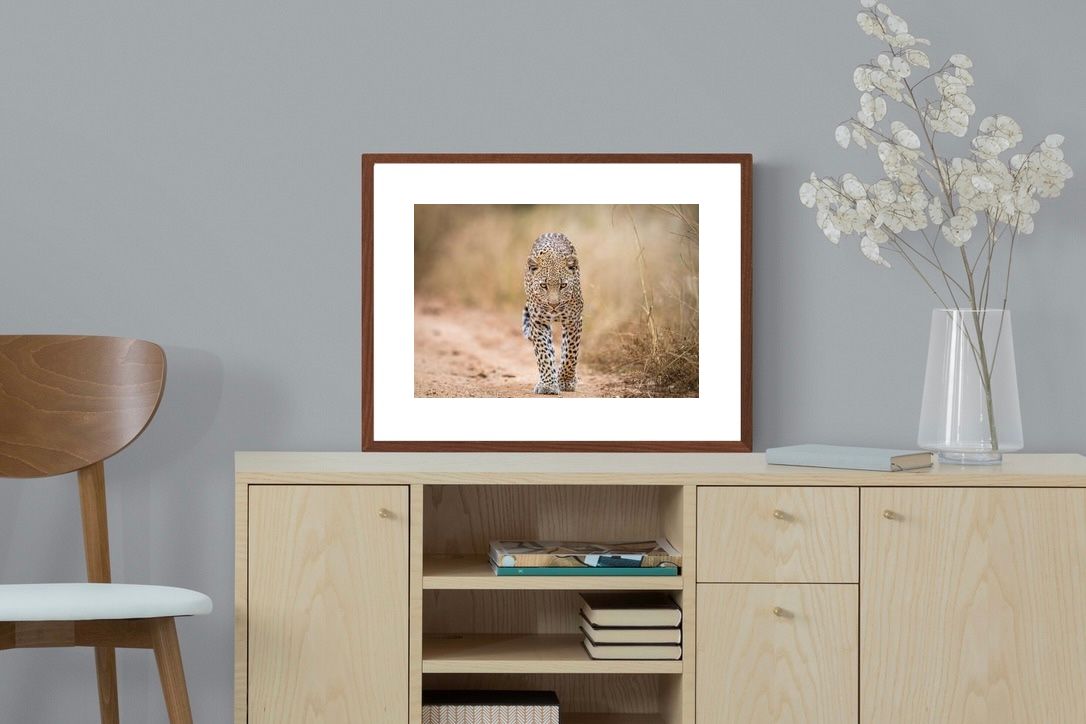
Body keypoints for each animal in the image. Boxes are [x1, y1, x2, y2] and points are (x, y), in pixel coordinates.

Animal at [522, 232, 583, 395]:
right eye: (544, 285)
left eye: (563, 285)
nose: (553, 305)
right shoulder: (538, 322)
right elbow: (544, 353)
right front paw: (548, 384)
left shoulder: (574, 321)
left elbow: (570, 353)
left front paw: (565, 381)